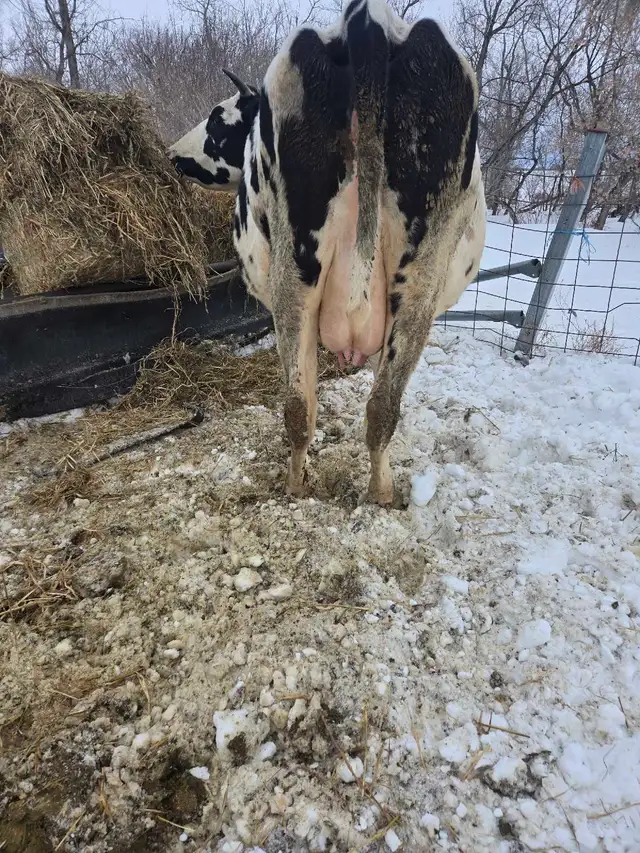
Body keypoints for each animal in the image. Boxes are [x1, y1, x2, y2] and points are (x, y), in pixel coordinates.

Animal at [167, 0, 486, 506]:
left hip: (294, 271)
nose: (172, 154)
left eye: (218, 117)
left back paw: (297, 486)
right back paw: (381, 494)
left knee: (299, 407)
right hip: (419, 280)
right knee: (381, 407)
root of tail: (369, 19)